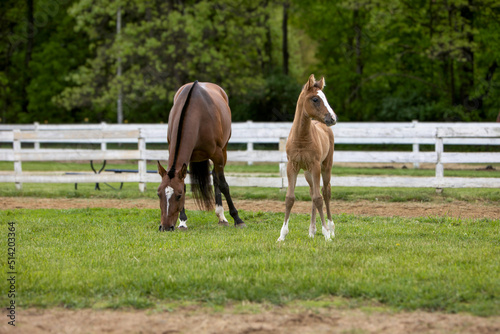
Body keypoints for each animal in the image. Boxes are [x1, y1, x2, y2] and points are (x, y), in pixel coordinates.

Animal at [156, 81, 246, 232]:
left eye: (179, 195)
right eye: (159, 194)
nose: (166, 227)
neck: (196, 114)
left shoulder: (217, 155)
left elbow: (223, 185)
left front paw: (237, 219)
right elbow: (185, 185)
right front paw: (183, 221)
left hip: (224, 151)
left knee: (216, 177)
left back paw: (222, 216)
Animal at [278, 73, 336, 240]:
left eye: (325, 97)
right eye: (315, 99)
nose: (332, 118)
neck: (301, 138)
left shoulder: (315, 166)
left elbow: (319, 198)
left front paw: (326, 234)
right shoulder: (292, 166)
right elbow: (290, 198)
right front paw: (282, 235)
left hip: (325, 167)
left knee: (325, 192)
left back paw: (331, 228)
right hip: (307, 173)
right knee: (312, 192)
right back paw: (312, 230)